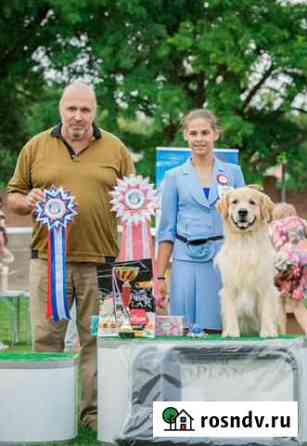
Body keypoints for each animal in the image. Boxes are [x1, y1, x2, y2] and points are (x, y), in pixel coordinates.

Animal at [215, 186, 286, 336]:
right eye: (234, 202)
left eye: (252, 202)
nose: (242, 212)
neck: (245, 242)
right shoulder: (230, 286)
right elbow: (230, 311)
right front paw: (231, 332)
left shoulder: (265, 285)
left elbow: (266, 311)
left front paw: (268, 332)